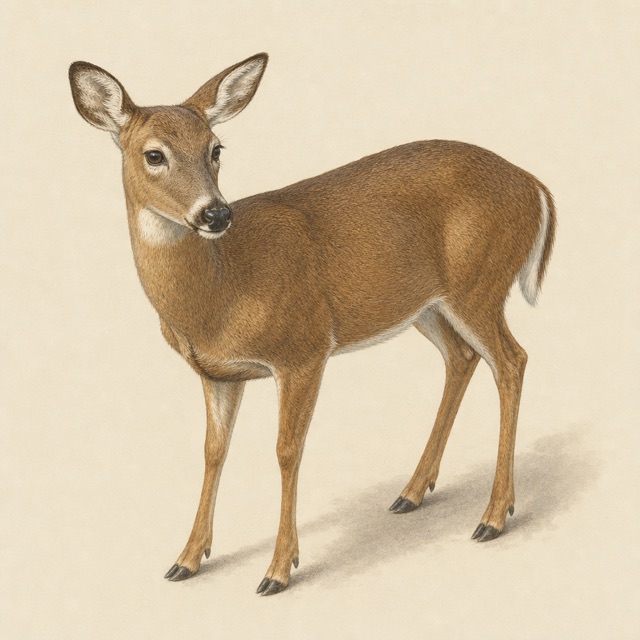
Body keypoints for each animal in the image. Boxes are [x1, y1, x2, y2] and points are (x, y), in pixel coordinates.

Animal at [68, 52, 556, 596]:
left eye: (216, 148)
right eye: (153, 154)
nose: (216, 214)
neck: (219, 291)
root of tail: (534, 185)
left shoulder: (303, 350)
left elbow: (287, 450)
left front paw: (278, 570)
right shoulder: (218, 375)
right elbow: (213, 452)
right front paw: (188, 559)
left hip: (480, 285)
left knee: (512, 360)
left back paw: (493, 516)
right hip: (427, 306)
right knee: (463, 357)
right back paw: (412, 492)